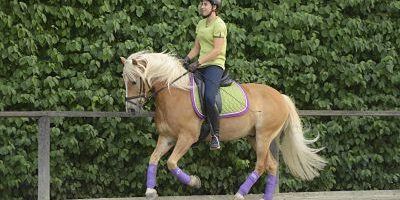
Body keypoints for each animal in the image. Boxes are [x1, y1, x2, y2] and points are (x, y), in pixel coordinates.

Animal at [120, 50, 326, 199]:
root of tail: (281, 97)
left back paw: (240, 194)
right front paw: (150, 191)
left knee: (261, 165)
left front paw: (194, 182)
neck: (174, 93)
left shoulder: (187, 137)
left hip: (264, 136)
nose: (131, 110)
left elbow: (171, 163)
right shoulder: (167, 137)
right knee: (272, 165)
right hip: (255, 137)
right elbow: (153, 158)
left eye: (134, 81)